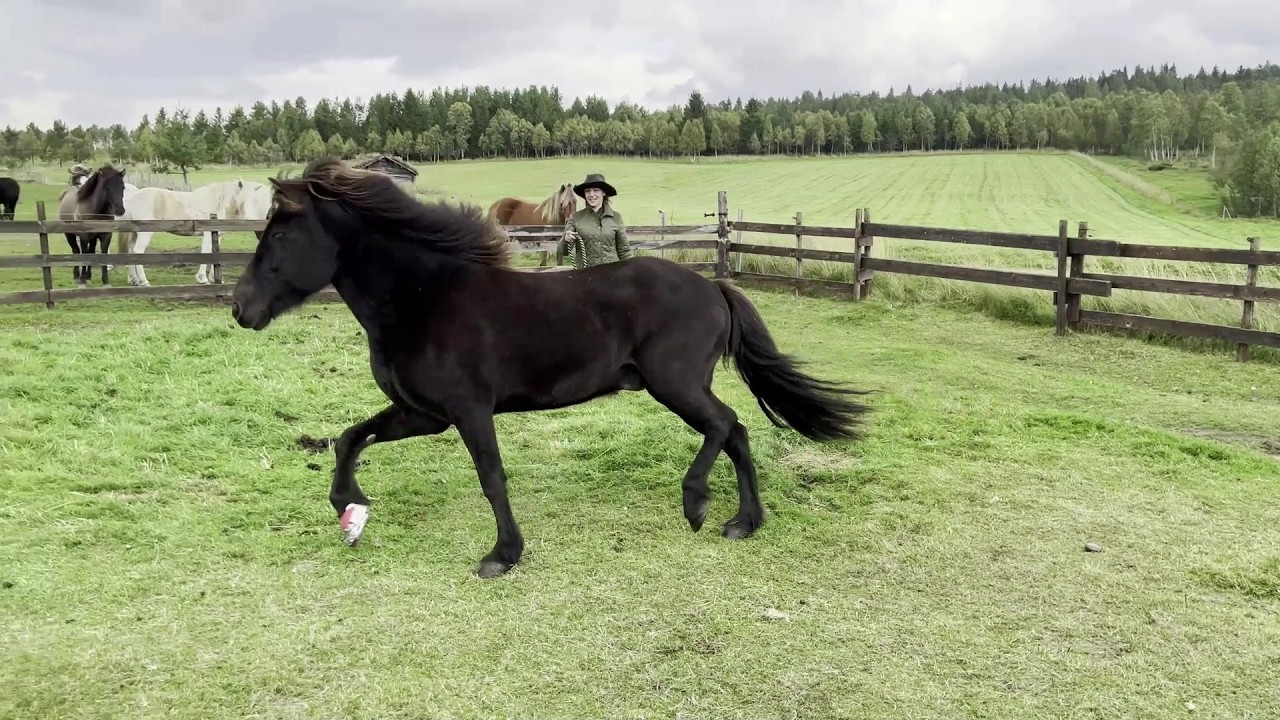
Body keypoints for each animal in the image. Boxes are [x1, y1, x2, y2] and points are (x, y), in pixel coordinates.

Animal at [115, 179, 272, 287]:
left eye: (256, 200)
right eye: (242, 200)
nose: (250, 219)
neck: (218, 204)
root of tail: (133, 196)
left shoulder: (217, 235)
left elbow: (214, 254)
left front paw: (214, 278)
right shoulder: (208, 234)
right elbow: (206, 254)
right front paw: (202, 279)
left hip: (135, 233)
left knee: (131, 252)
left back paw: (134, 280)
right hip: (144, 233)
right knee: (137, 252)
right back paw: (143, 281)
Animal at [230, 158, 871, 579]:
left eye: (280, 232)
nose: (242, 309)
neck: (423, 298)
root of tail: (713, 286)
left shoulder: (469, 411)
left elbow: (492, 478)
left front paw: (502, 556)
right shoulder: (423, 414)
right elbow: (348, 438)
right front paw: (348, 504)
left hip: (675, 384)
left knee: (725, 425)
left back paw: (697, 503)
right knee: (735, 432)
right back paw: (744, 522)